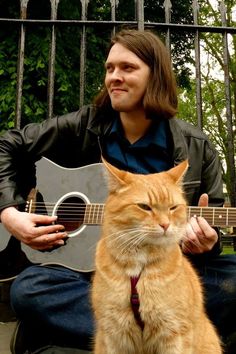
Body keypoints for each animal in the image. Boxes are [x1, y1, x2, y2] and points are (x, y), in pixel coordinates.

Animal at [91, 160, 222, 354]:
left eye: (173, 208)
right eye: (144, 207)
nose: (165, 225)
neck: (138, 268)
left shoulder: (174, 333)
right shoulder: (113, 334)